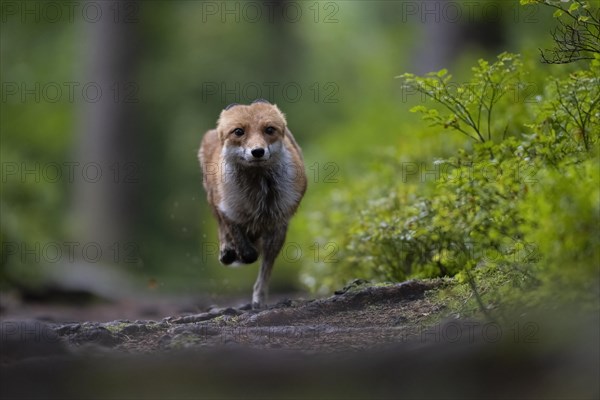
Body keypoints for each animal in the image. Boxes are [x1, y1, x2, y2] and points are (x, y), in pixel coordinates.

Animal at [199, 100, 308, 310]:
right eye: (239, 132)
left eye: (269, 129)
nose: (257, 151)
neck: (259, 197)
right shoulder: (228, 211)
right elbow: (246, 249)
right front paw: (237, 253)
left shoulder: (278, 225)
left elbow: (264, 273)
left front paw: (259, 299)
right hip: (213, 199)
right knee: (222, 230)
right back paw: (227, 252)